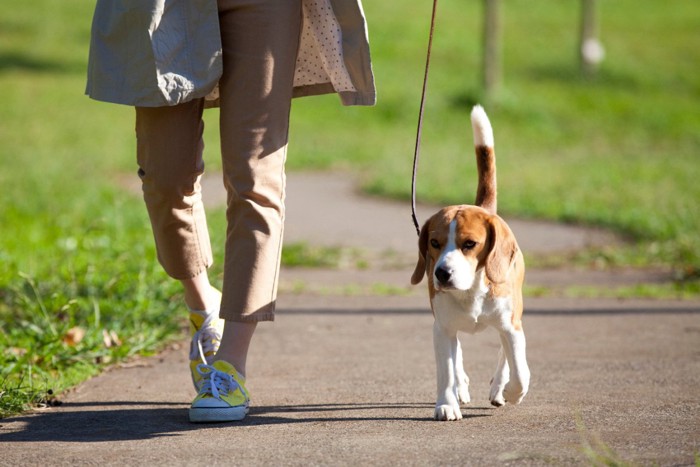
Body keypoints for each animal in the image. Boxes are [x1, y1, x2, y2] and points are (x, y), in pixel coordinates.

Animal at [410, 108, 532, 422]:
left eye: (469, 244)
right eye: (434, 242)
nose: (441, 273)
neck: (471, 291)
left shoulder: (511, 325)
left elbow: (519, 369)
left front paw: (511, 391)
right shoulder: (441, 328)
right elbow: (446, 370)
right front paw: (446, 403)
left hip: (513, 311)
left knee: (506, 353)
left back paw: (500, 387)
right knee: (458, 356)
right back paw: (462, 387)